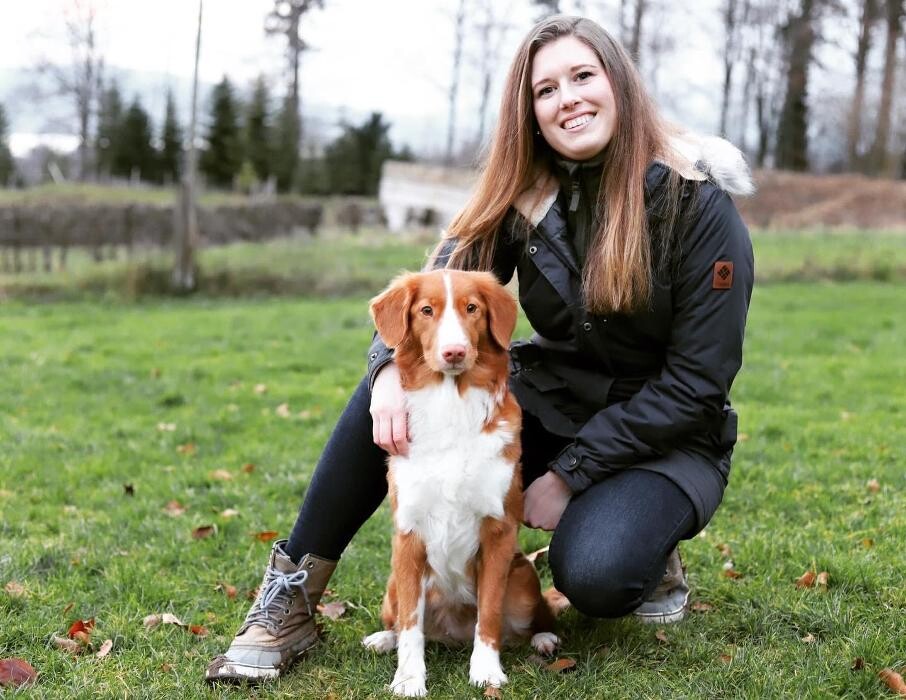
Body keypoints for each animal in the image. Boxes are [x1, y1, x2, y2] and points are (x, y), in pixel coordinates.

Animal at [362, 270, 556, 696]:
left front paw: (486, 670)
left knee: (533, 617)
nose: (454, 352)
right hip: (392, 584)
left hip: (523, 578)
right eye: (426, 310)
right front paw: (409, 679)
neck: (451, 404)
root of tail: (454, 634)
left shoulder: (499, 531)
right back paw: (382, 639)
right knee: (400, 621)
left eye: (472, 308)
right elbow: (410, 626)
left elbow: (490, 612)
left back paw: (544, 638)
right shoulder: (408, 535)